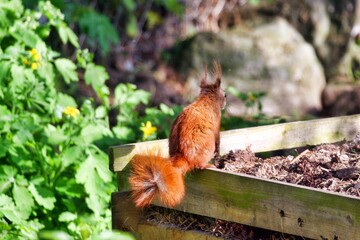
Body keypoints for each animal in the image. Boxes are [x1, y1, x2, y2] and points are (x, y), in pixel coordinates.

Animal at [129, 62, 225, 208]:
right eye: (225, 95)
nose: (225, 103)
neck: (206, 99)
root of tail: (183, 157)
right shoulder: (217, 122)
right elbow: (218, 142)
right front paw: (218, 158)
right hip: (207, 147)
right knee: (199, 165)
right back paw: (207, 165)